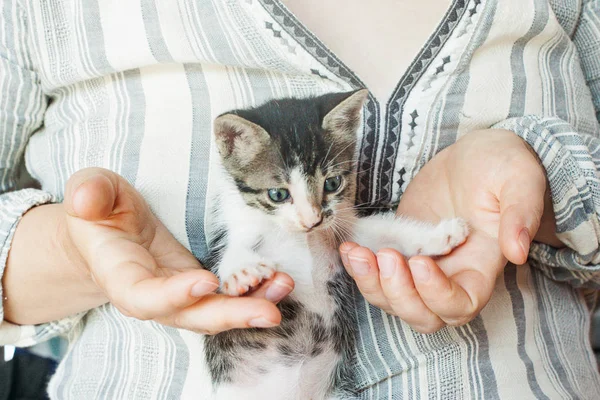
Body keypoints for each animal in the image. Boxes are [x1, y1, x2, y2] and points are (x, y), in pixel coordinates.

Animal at [199, 90, 466, 400]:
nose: (312, 220)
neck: (301, 237)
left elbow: (385, 231)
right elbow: (224, 258)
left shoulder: (342, 229)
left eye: (332, 183)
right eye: (277, 194)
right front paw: (242, 271)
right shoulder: (231, 231)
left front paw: (439, 235)